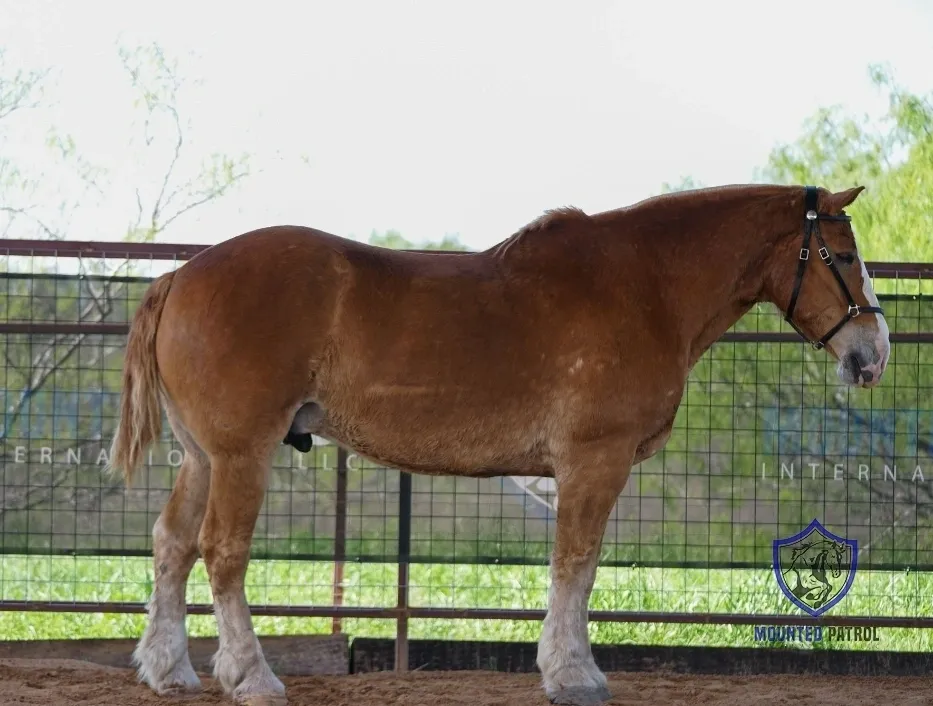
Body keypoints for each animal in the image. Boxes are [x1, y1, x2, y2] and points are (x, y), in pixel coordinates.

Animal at [107, 183, 889, 706]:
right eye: (844, 254)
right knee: (222, 551)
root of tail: (182, 274)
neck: (645, 286)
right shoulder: (593, 461)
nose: (873, 354)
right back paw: (252, 677)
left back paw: (170, 670)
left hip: (203, 456)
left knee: (172, 544)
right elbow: (576, 565)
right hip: (242, 454)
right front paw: (572, 675)